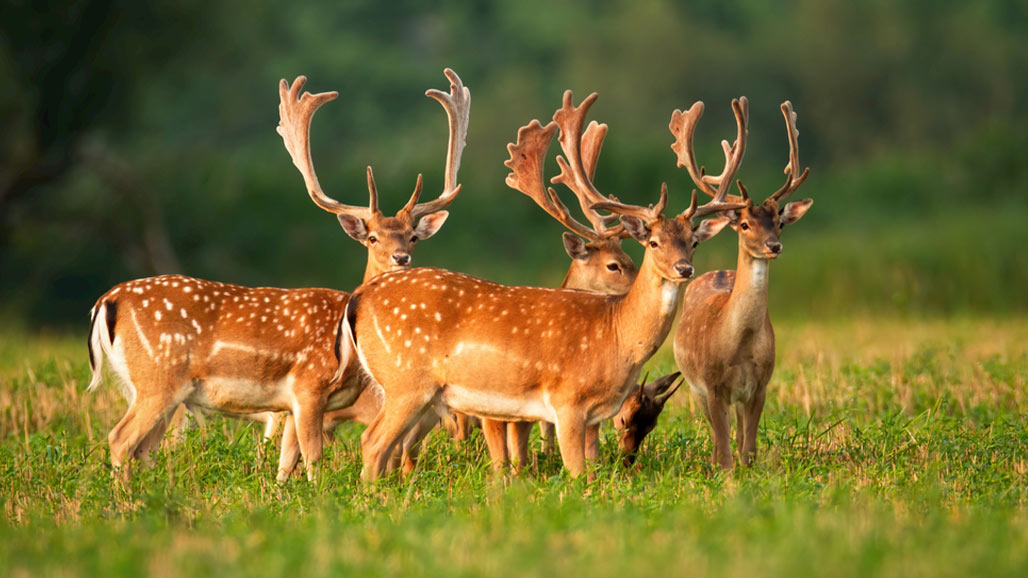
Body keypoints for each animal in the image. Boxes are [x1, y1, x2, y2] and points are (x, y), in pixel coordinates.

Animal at [86, 69, 469, 481]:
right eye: (372, 237)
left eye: (413, 236)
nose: (401, 257)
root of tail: (106, 300)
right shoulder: (309, 385)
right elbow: (314, 458)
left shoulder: (289, 406)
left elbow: (286, 463)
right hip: (158, 379)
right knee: (120, 438)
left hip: (154, 390)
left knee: (144, 448)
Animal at [344, 92, 748, 481]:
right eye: (653, 242)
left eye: (693, 242)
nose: (684, 268)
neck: (614, 337)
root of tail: (359, 297)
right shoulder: (567, 401)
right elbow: (578, 474)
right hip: (406, 380)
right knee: (372, 442)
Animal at [671, 98, 811, 470]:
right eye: (746, 224)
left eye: (779, 222)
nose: (773, 246)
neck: (739, 344)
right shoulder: (711, 384)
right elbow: (725, 451)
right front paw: (724, 472)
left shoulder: (761, 384)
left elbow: (749, 448)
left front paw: (747, 469)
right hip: (694, 387)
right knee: (716, 434)